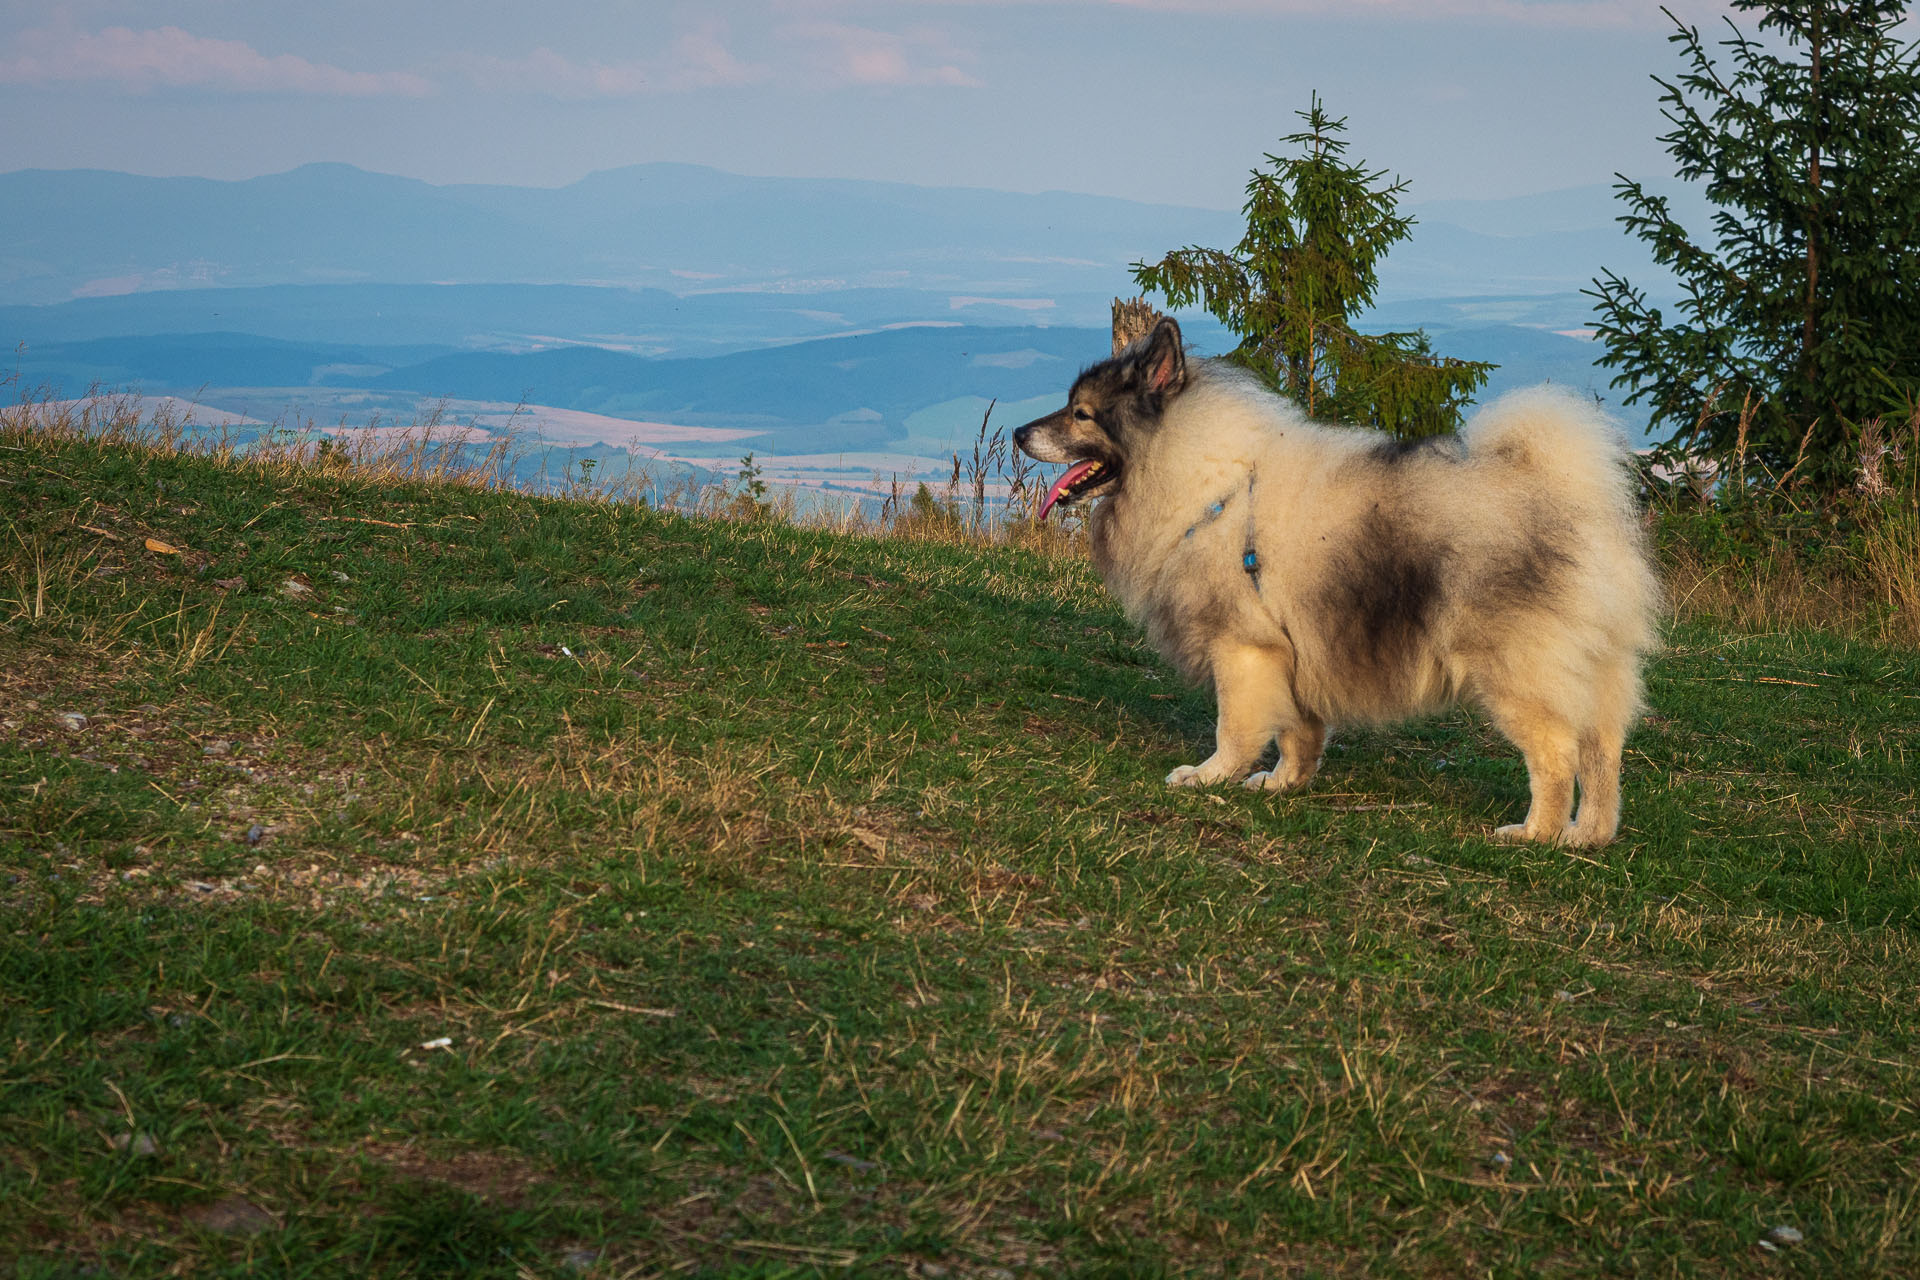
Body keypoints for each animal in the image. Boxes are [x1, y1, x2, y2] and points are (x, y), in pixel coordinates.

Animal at [1013, 314, 1658, 844]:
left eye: (1081, 414)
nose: (1019, 433)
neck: (1205, 482)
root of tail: (1571, 498)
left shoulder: (1243, 650)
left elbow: (1235, 730)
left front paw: (1208, 777)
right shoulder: (1292, 653)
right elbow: (1298, 735)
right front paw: (1282, 784)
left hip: (1517, 676)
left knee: (1557, 759)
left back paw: (1535, 834)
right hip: (1597, 675)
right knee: (1602, 758)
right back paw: (1586, 836)